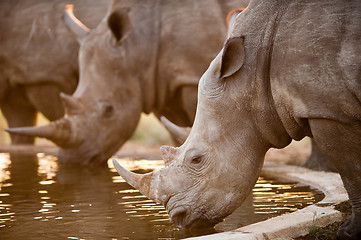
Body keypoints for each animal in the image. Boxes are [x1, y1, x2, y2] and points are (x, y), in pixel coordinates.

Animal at [113, 0, 360, 238]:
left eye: (196, 160)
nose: (178, 219)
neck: (253, 78)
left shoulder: (327, 109)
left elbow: (351, 171)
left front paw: (348, 231)